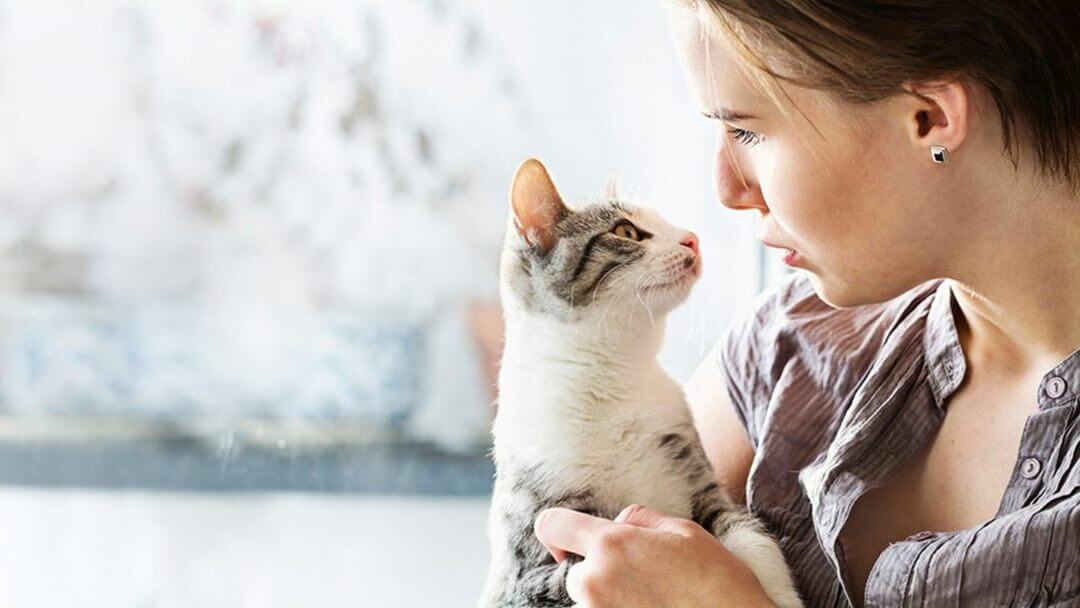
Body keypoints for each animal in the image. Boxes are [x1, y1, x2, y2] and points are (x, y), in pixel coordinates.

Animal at [479, 158, 803, 608]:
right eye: (625, 232)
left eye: (665, 221)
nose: (692, 239)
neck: (612, 374)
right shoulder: (529, 564)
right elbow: (565, 577)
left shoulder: (696, 472)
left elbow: (748, 535)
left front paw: (779, 593)